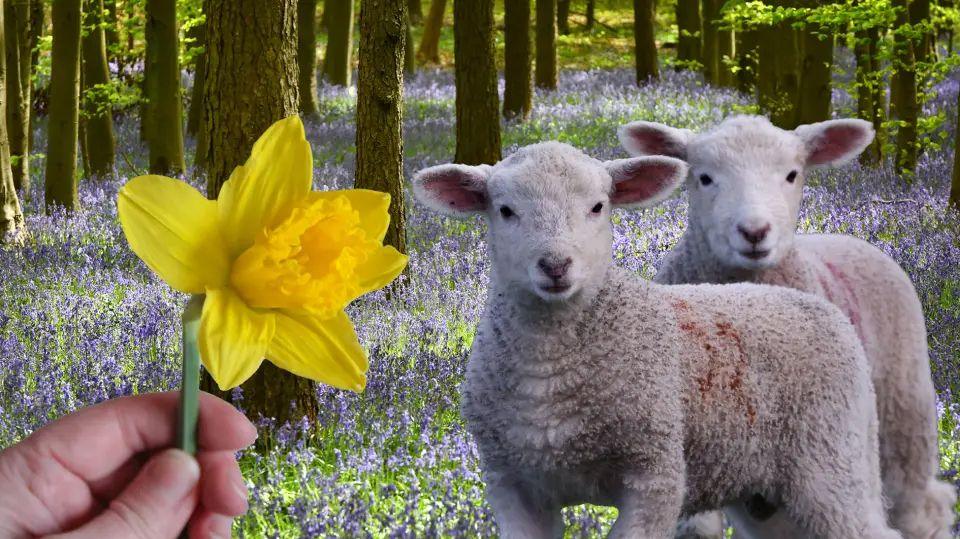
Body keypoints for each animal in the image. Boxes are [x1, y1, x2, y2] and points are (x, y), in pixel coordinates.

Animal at [410, 142, 900, 539]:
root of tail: (820, 307)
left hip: (830, 457)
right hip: (771, 486)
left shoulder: (655, 472)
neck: (549, 368)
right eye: (506, 210)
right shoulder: (510, 482)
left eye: (598, 207)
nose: (555, 265)